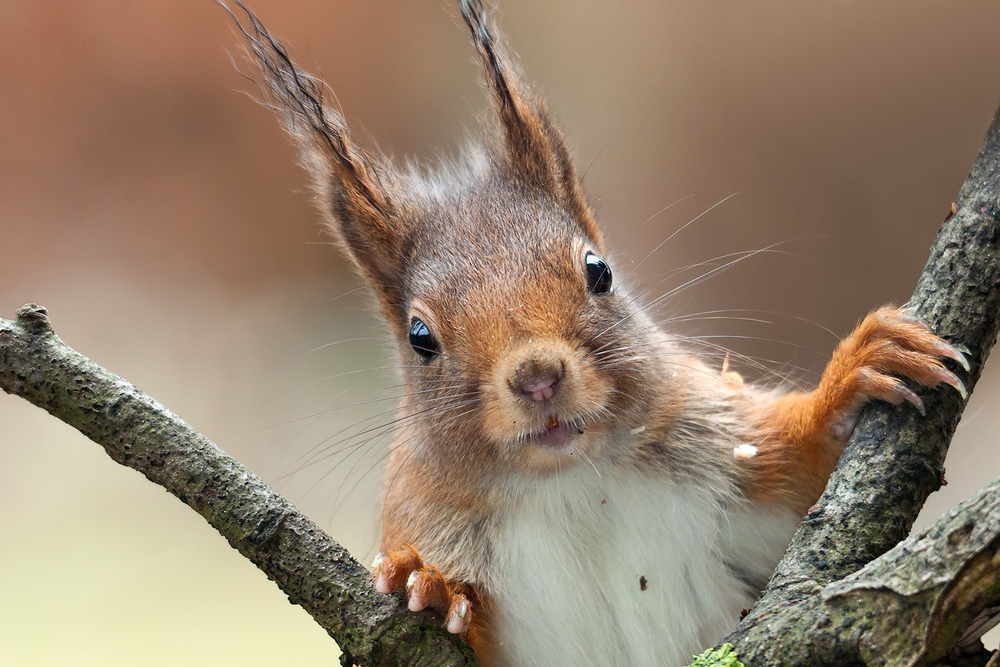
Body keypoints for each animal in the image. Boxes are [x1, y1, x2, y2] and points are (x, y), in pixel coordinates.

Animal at [232, 2, 968, 664]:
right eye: (420, 337)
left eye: (599, 271)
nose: (536, 377)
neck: (573, 483)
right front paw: (430, 585)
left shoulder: (729, 452)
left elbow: (800, 467)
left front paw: (855, 374)